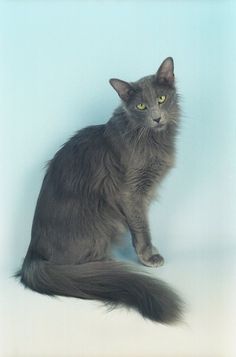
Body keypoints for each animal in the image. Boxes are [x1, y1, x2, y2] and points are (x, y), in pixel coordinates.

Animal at [16, 57, 183, 322]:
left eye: (161, 99)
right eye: (141, 107)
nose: (157, 118)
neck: (151, 139)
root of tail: (32, 253)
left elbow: (141, 226)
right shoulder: (130, 193)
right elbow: (141, 228)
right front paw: (148, 256)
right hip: (101, 217)